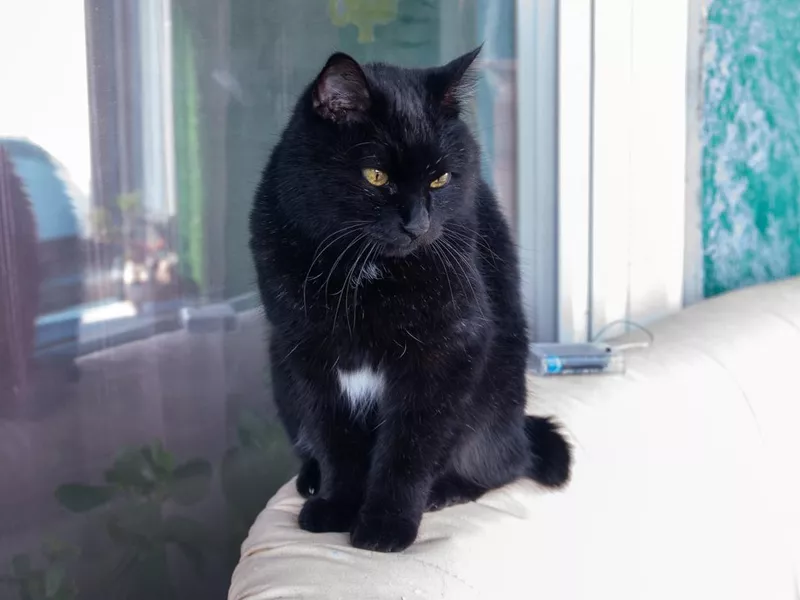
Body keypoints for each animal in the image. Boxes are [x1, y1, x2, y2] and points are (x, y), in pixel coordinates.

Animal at [253, 49, 572, 552]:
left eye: (439, 179)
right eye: (376, 175)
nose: (417, 225)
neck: (365, 273)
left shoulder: (445, 354)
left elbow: (408, 449)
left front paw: (385, 527)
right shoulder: (308, 355)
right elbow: (334, 440)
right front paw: (337, 506)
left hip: (495, 400)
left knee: (500, 466)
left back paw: (445, 491)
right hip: (279, 371)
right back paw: (310, 479)